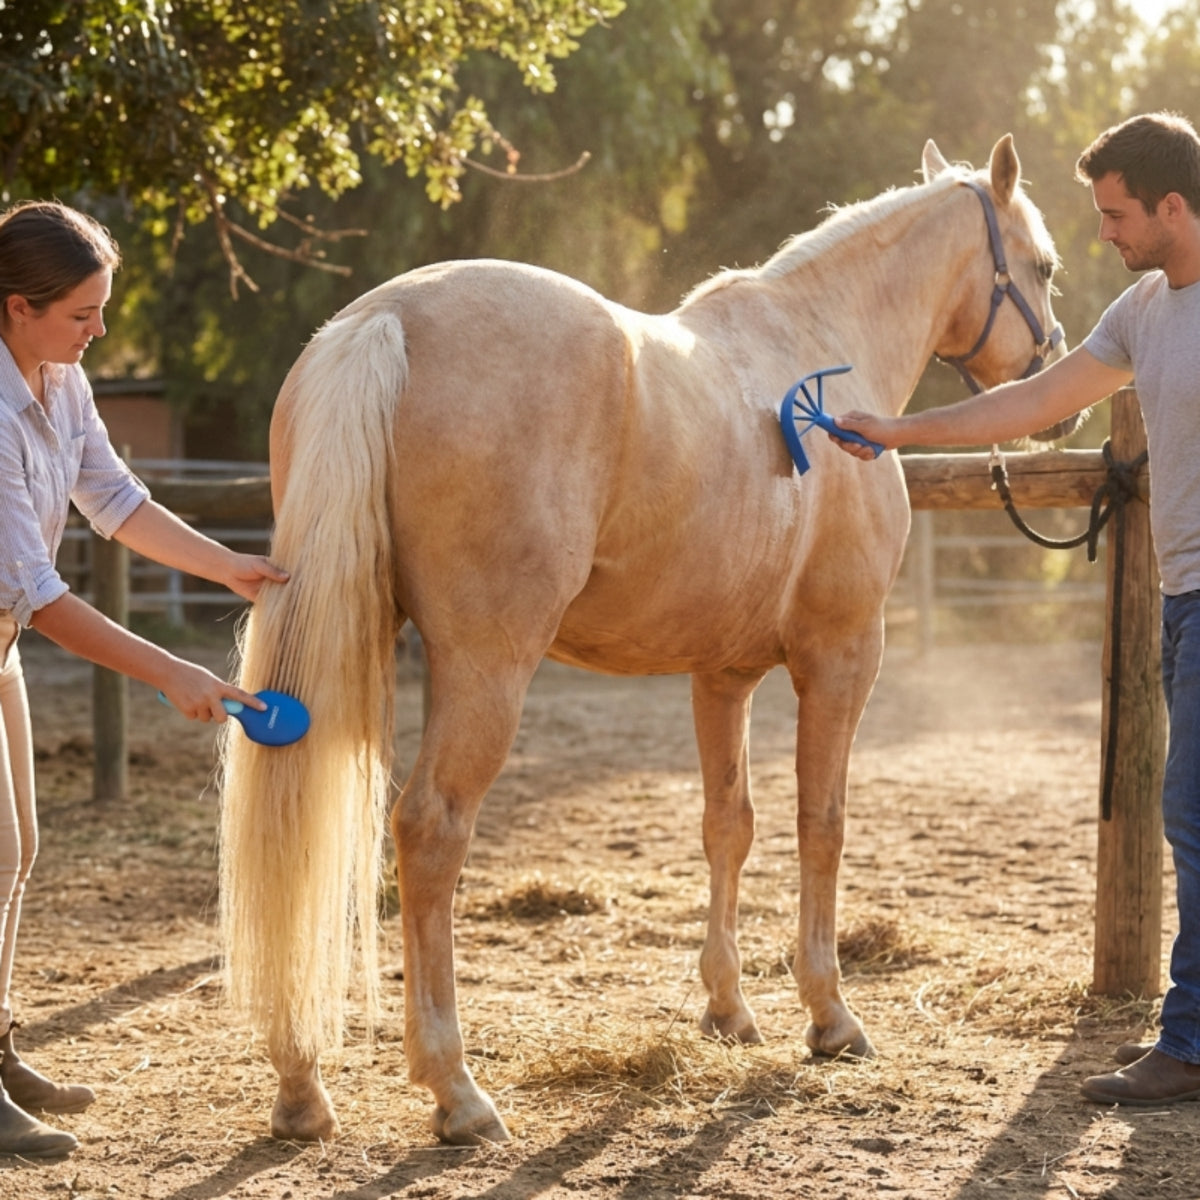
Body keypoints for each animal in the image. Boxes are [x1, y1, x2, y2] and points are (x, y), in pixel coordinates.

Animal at [218, 134, 1065, 1146]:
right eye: (1044, 266)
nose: (1061, 397)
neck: (826, 355)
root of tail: (383, 320)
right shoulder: (842, 656)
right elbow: (821, 824)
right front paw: (830, 1015)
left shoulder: (723, 674)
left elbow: (728, 824)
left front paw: (729, 1009)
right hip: (487, 666)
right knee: (430, 829)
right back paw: (457, 1091)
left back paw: (301, 1087)